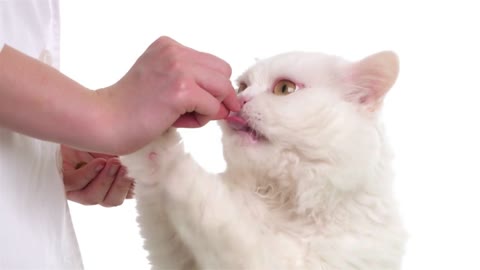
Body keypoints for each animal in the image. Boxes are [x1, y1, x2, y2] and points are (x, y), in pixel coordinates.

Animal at [122, 50, 406, 270]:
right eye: (242, 87)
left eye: (285, 89)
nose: (239, 100)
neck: (272, 194)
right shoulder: (174, 255)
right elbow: (153, 181)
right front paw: (144, 119)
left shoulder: (276, 260)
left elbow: (205, 204)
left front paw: (172, 162)